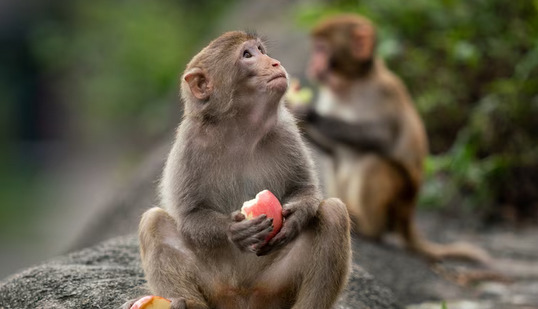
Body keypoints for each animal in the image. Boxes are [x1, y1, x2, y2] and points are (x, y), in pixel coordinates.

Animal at [120, 30, 352, 308]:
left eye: (261, 50)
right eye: (247, 55)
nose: (274, 62)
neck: (240, 129)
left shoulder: (285, 129)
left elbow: (304, 188)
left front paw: (294, 217)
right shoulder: (188, 145)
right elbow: (189, 215)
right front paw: (233, 230)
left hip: (274, 288)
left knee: (334, 213)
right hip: (217, 289)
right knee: (153, 221)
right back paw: (181, 303)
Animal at [286, 14, 488, 262]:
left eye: (322, 49)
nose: (312, 64)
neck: (350, 84)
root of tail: (408, 215)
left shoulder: (383, 91)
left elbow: (382, 136)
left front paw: (307, 112)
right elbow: (332, 149)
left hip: (399, 199)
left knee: (374, 161)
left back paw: (367, 227)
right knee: (337, 160)